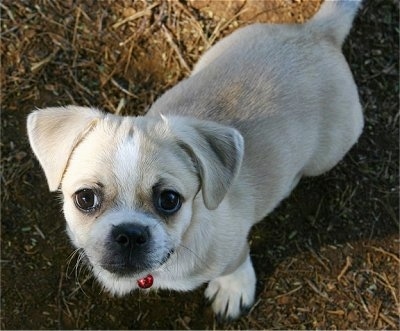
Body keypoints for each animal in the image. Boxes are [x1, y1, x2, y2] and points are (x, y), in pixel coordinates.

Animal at [26, 0, 364, 322]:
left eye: (169, 200)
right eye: (85, 198)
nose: (130, 234)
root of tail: (316, 31)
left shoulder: (232, 245)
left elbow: (237, 262)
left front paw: (234, 289)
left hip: (330, 153)